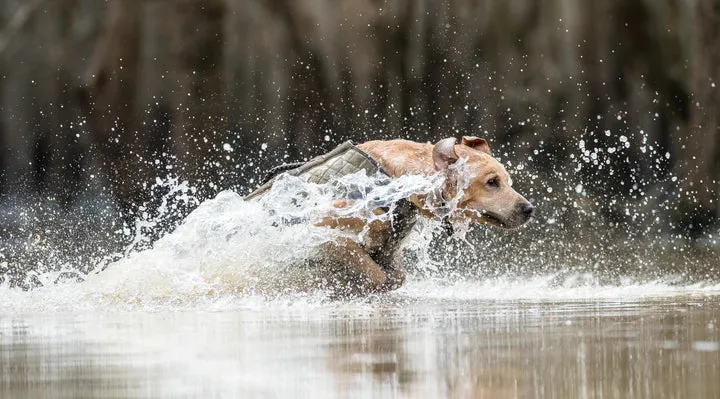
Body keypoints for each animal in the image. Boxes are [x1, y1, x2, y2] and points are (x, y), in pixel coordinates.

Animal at [306, 138, 532, 296]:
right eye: (492, 182)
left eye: (507, 180)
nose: (529, 208)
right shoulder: (324, 228)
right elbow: (374, 272)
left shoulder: (389, 248)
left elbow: (396, 275)